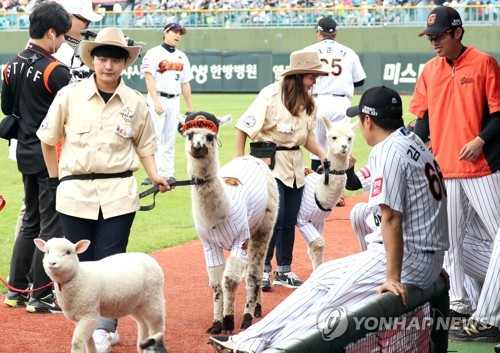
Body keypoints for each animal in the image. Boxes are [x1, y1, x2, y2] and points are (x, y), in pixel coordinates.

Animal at [35, 236, 168, 352]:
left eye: (68, 252)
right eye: (47, 252)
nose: (52, 263)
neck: (78, 276)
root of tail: (148, 257)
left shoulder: (89, 314)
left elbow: (78, 343)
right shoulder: (80, 316)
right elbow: (89, 341)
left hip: (153, 298)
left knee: (158, 326)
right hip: (136, 304)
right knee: (143, 324)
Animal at [180, 112, 282, 332]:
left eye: (210, 136)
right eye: (189, 134)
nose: (198, 146)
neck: (219, 215)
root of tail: (253, 158)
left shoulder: (240, 238)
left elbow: (230, 280)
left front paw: (229, 320)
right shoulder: (209, 244)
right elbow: (216, 283)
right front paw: (216, 323)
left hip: (263, 226)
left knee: (254, 272)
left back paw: (248, 314)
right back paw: (257, 308)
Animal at [296, 118, 356, 270]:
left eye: (349, 138)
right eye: (333, 137)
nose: (343, 146)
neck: (319, 192)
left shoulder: (318, 220)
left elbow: (314, 248)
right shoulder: (301, 218)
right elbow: (318, 243)